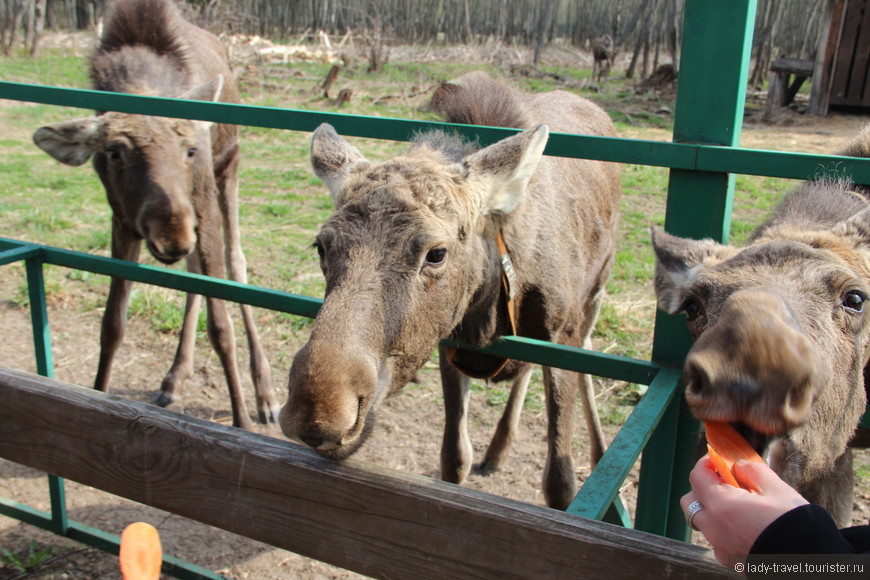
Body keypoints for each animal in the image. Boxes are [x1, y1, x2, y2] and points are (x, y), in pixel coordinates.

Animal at [32, 0, 278, 428]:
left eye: (191, 150)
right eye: (113, 151)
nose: (172, 235)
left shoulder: (203, 208)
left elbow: (221, 326)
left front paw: (241, 420)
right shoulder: (122, 221)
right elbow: (112, 324)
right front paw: (96, 395)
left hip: (228, 171)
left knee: (236, 262)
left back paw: (263, 393)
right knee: (195, 272)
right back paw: (175, 376)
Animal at [282, 71, 624, 508]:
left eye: (437, 253)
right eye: (322, 246)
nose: (319, 415)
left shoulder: (561, 335)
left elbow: (560, 483)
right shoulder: (449, 343)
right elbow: (454, 458)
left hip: (596, 292)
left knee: (589, 350)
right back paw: (498, 448)